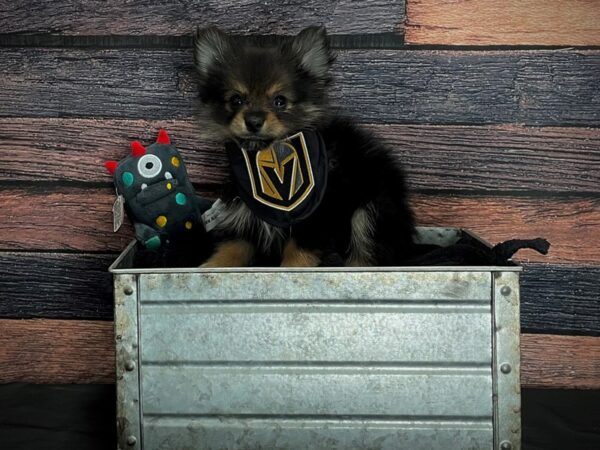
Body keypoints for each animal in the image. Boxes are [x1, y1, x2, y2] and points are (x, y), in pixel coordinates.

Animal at [195, 26, 414, 268]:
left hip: (371, 209)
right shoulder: (246, 215)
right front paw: (210, 266)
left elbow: (298, 253)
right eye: (236, 100)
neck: (268, 154)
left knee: (366, 253)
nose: (253, 121)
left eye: (280, 101)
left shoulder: (318, 215)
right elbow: (232, 248)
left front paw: (291, 268)